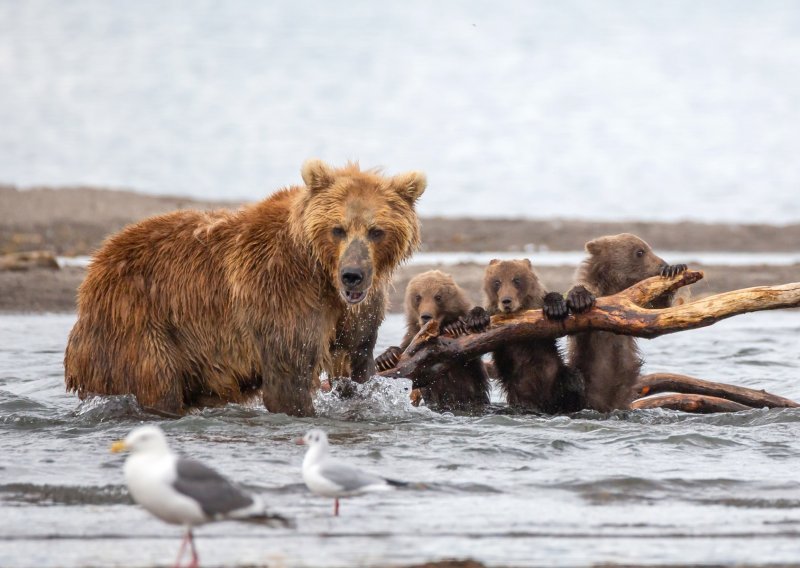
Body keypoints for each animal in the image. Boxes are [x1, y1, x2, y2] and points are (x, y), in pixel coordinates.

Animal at [64, 160, 424, 418]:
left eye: (376, 230)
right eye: (338, 229)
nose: (353, 275)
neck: (321, 273)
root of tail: (97, 266)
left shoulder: (357, 312)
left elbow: (354, 364)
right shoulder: (282, 294)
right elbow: (288, 378)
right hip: (138, 325)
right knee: (155, 383)